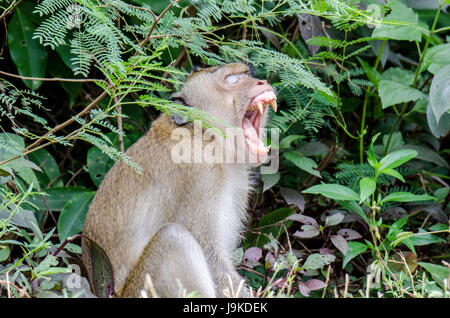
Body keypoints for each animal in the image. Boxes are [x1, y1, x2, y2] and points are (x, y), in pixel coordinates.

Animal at [82, 62, 276, 298]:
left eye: (247, 74)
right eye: (232, 80)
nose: (261, 82)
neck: (204, 135)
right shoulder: (202, 175)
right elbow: (210, 255)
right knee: (173, 237)